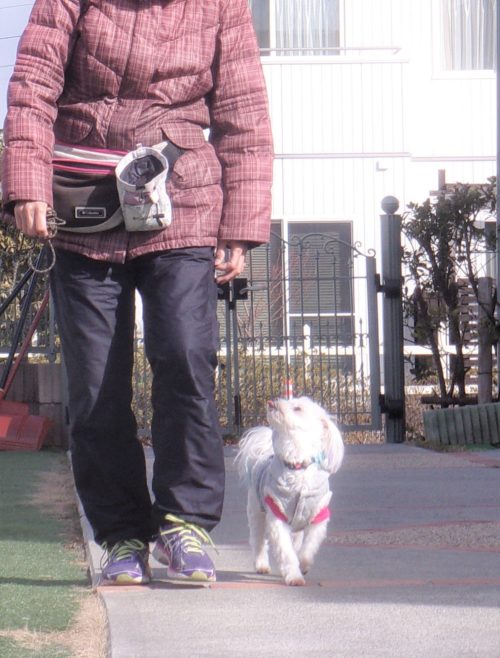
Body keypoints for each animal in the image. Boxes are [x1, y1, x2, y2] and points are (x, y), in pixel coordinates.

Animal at [235, 396, 344, 586]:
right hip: (257, 511)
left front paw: (304, 565)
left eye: (297, 408)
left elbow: (309, 547)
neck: (297, 465)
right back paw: (261, 564)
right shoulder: (277, 514)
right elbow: (286, 552)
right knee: (258, 540)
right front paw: (294, 576)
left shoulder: (318, 516)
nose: (272, 402)